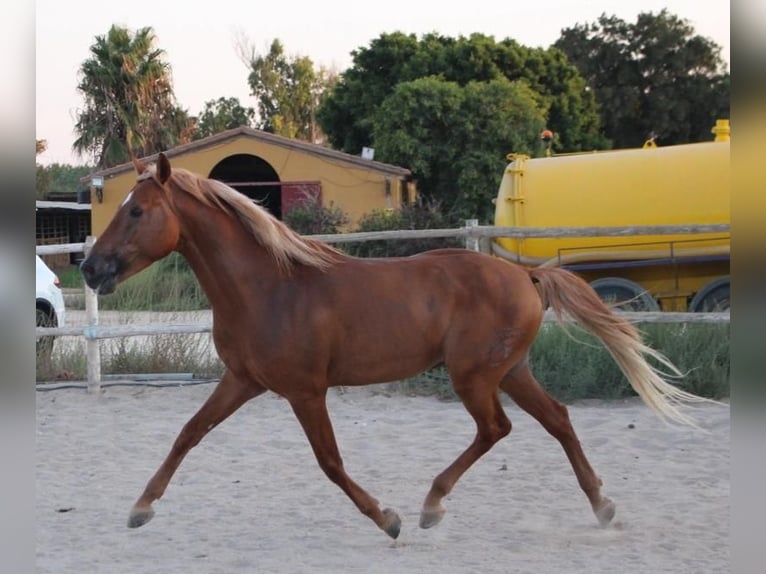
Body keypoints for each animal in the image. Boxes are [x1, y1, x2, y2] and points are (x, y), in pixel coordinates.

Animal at [81, 152, 704, 540]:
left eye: (136, 210)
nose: (90, 269)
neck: (270, 287)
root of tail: (526, 276)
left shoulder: (305, 392)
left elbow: (330, 462)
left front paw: (389, 518)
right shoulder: (243, 381)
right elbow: (188, 434)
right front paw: (140, 509)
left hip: (474, 375)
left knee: (497, 428)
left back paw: (431, 506)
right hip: (509, 369)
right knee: (557, 418)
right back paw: (602, 507)